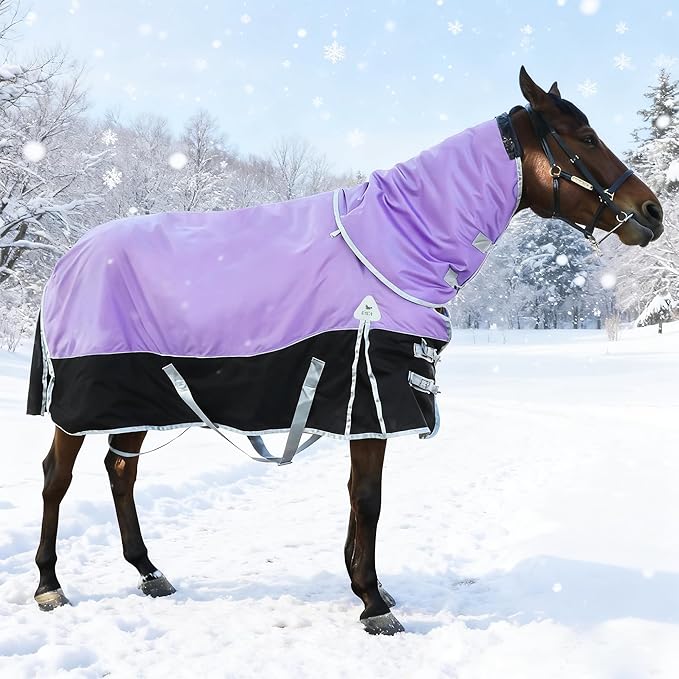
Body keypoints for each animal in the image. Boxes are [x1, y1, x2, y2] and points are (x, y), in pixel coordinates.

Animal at [27, 67, 664, 635]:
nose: (652, 211)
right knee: (58, 477)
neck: (394, 244)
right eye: (585, 138)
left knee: (120, 471)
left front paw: (368, 585)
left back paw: (148, 571)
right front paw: (372, 602)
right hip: (83, 401)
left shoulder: (365, 405)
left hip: (136, 396)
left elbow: (361, 502)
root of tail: (66, 261)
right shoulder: (371, 399)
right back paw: (49, 584)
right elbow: (368, 500)